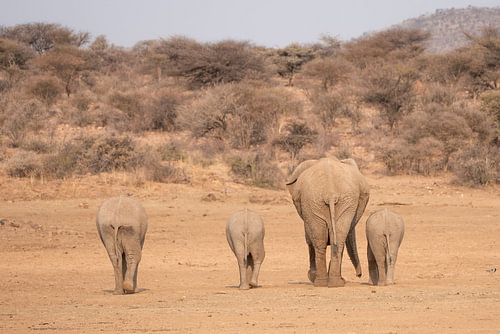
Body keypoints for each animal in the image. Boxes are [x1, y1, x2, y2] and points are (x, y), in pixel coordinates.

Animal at [288, 158, 370, 286]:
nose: (359, 275)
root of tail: (330, 193)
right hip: (317, 202)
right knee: (332, 239)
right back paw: (329, 283)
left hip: (329, 202)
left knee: (325, 240)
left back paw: (327, 282)